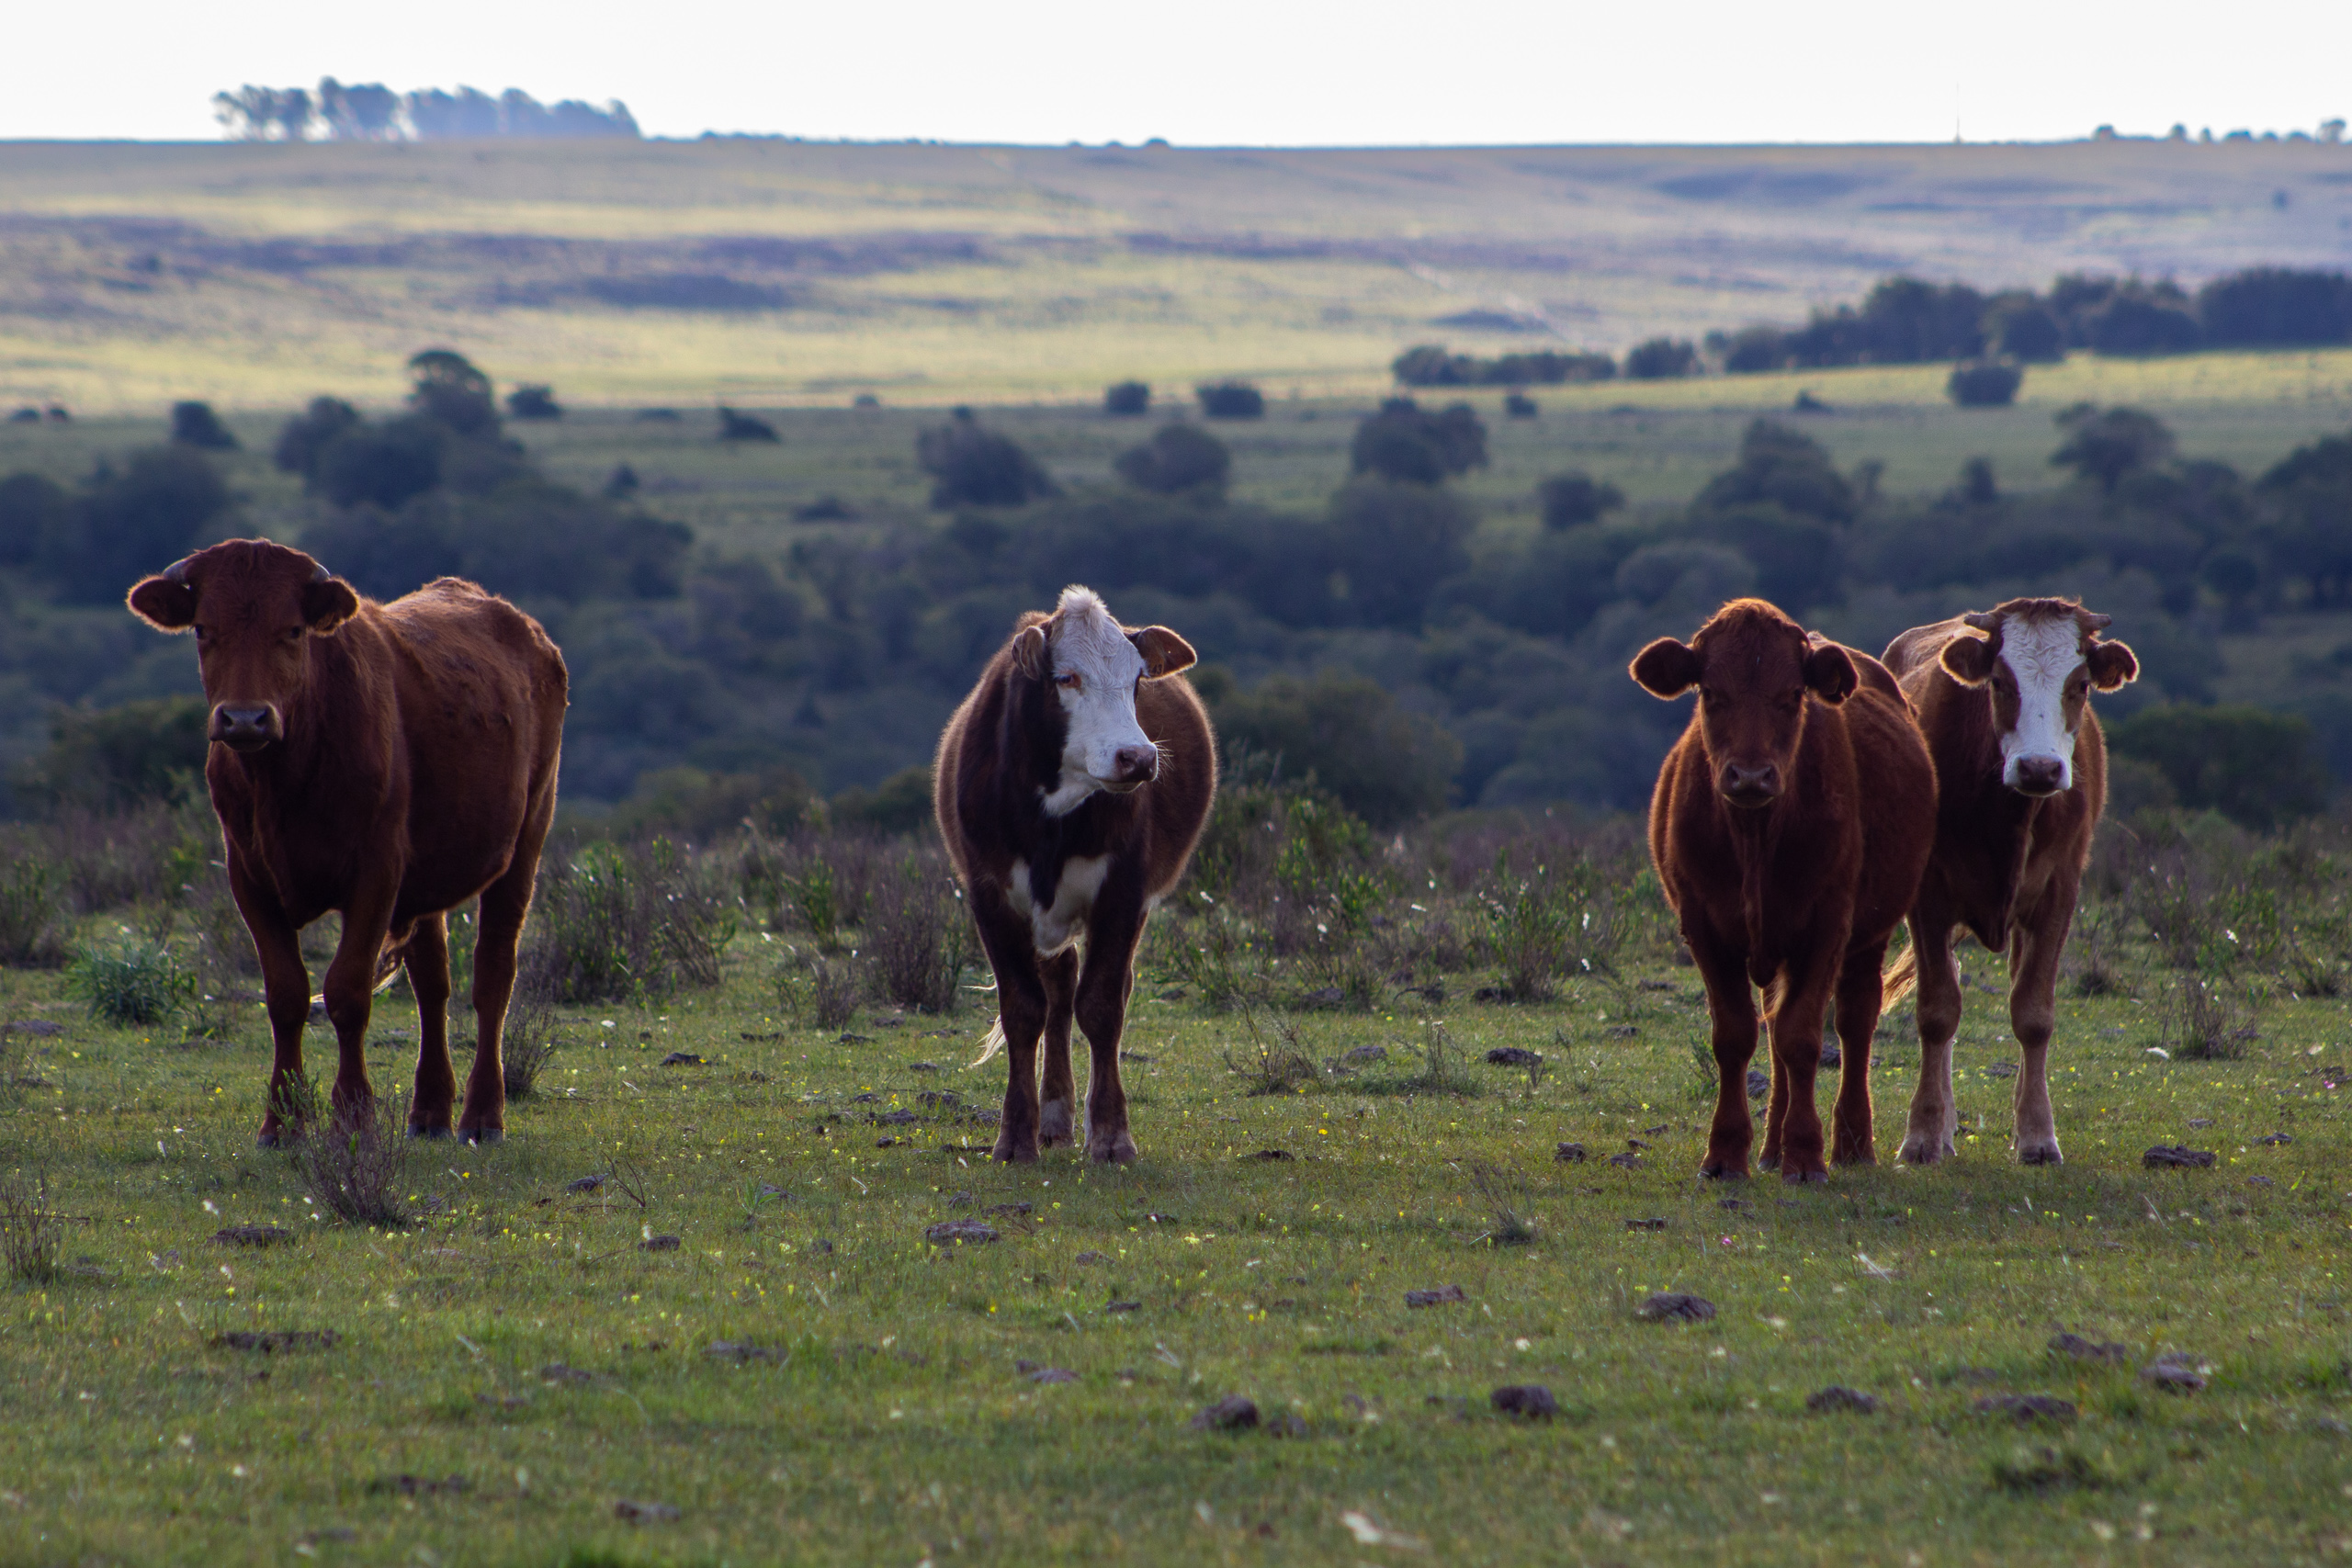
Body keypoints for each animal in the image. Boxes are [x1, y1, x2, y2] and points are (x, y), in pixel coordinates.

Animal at [127, 540, 567, 1147]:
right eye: (203, 630)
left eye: (292, 630)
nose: (245, 719)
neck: (285, 781)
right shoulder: (248, 877)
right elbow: (287, 994)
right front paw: (283, 1121)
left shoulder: (376, 873)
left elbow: (347, 992)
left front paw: (353, 1115)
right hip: (428, 881)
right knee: (433, 984)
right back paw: (430, 1110)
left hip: (525, 841)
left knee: (493, 978)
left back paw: (482, 1116)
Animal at [934, 585, 1215, 1164]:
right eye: (1066, 677)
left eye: (1137, 680)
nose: (1137, 757)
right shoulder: (989, 896)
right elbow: (1024, 1009)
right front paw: (1015, 1138)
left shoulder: (1124, 894)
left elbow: (1102, 1006)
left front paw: (1111, 1136)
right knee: (1058, 993)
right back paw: (1053, 1119)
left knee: (1089, 993)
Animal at [1630, 598, 1936, 1182]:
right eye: (1711, 692)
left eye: (1792, 694)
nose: (1750, 777)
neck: (1754, 840)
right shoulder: (1703, 926)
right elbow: (1736, 1036)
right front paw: (1726, 1154)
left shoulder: (1828, 925)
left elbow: (1803, 1038)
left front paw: (1806, 1153)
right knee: (1772, 1027)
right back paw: (1770, 1149)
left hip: (1868, 937)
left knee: (1854, 1023)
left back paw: (1851, 1144)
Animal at [1880, 598, 2138, 1166]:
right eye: (1999, 681)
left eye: (2080, 684)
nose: (2040, 768)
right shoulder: (1927, 897)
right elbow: (1937, 1011)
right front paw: (1924, 1133)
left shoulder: (2059, 893)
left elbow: (2033, 1013)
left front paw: (2038, 1134)